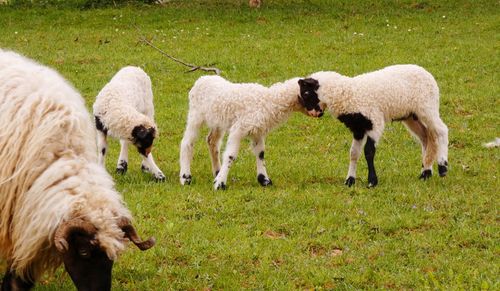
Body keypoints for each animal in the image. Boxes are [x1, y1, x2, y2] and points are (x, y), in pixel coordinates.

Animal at [180, 74, 324, 192]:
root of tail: (202, 79)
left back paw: (217, 172)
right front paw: (220, 184)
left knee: (212, 141)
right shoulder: (238, 129)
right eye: (307, 93)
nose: (320, 113)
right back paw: (186, 177)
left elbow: (260, 154)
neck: (269, 101)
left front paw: (264, 180)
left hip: (217, 121)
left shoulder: (257, 131)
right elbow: (230, 155)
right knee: (187, 143)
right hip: (195, 115)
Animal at [300, 64, 450, 187]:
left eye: (306, 93)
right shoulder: (358, 128)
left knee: (441, 131)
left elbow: (369, 151)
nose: (313, 114)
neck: (348, 94)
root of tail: (426, 73)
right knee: (426, 137)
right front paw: (350, 180)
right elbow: (354, 153)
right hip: (412, 116)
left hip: (427, 107)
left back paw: (442, 167)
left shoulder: (375, 122)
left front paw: (372, 181)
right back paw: (425, 172)